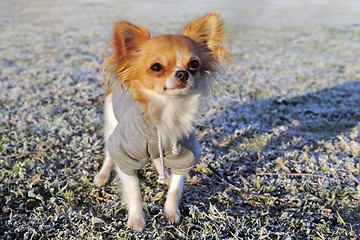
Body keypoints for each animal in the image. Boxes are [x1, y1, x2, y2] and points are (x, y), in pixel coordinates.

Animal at [93, 13, 231, 232]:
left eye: (194, 64)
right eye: (156, 67)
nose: (183, 73)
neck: (166, 112)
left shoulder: (184, 155)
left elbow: (176, 188)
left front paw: (171, 212)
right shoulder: (124, 154)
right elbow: (134, 191)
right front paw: (137, 220)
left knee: (157, 158)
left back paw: (163, 174)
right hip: (111, 125)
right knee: (108, 154)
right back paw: (103, 175)